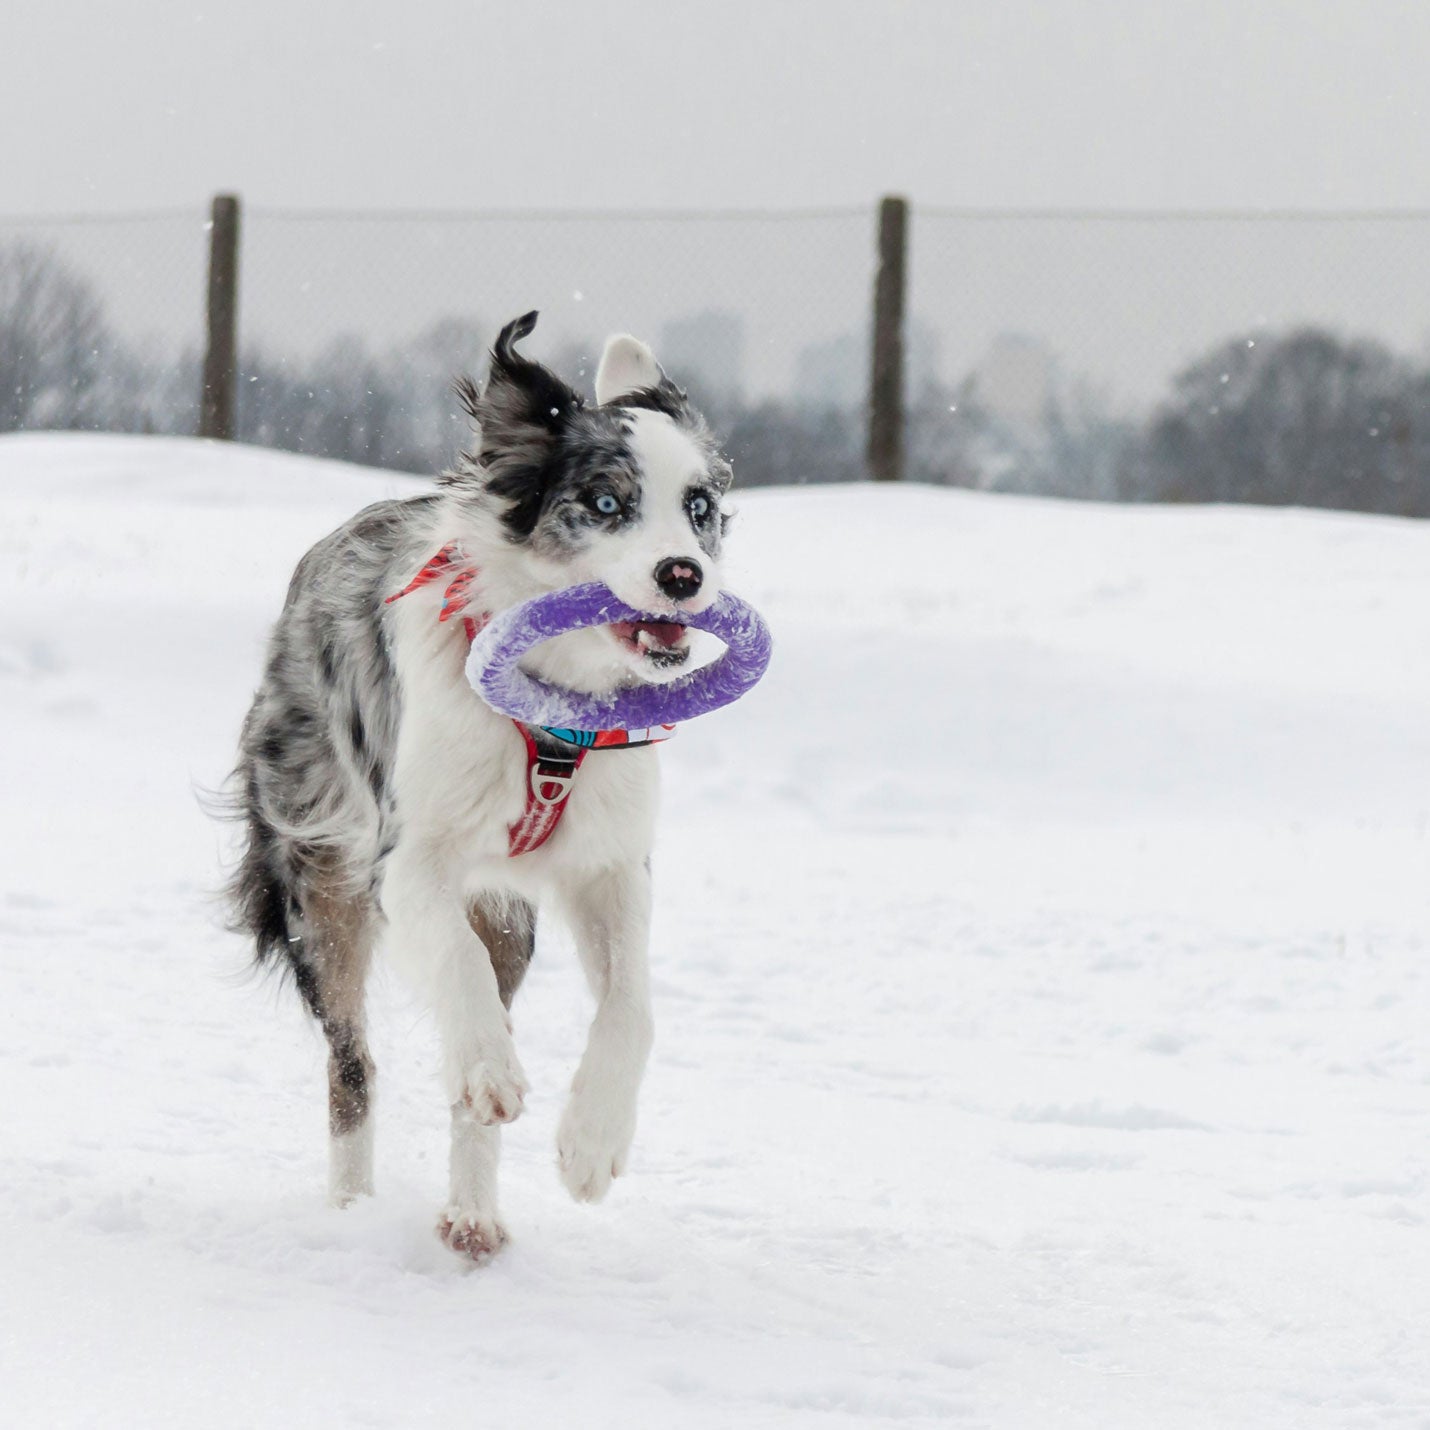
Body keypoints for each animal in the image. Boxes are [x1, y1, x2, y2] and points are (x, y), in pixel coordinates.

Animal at [231, 316, 737, 1264]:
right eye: (605, 503)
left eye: (699, 508)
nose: (684, 576)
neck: (554, 710)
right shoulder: (408, 860)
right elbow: (456, 974)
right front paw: (494, 1073)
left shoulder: (610, 868)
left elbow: (633, 1006)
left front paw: (591, 1144)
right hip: (322, 885)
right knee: (353, 1064)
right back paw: (354, 1204)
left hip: (507, 917)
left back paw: (471, 1214)